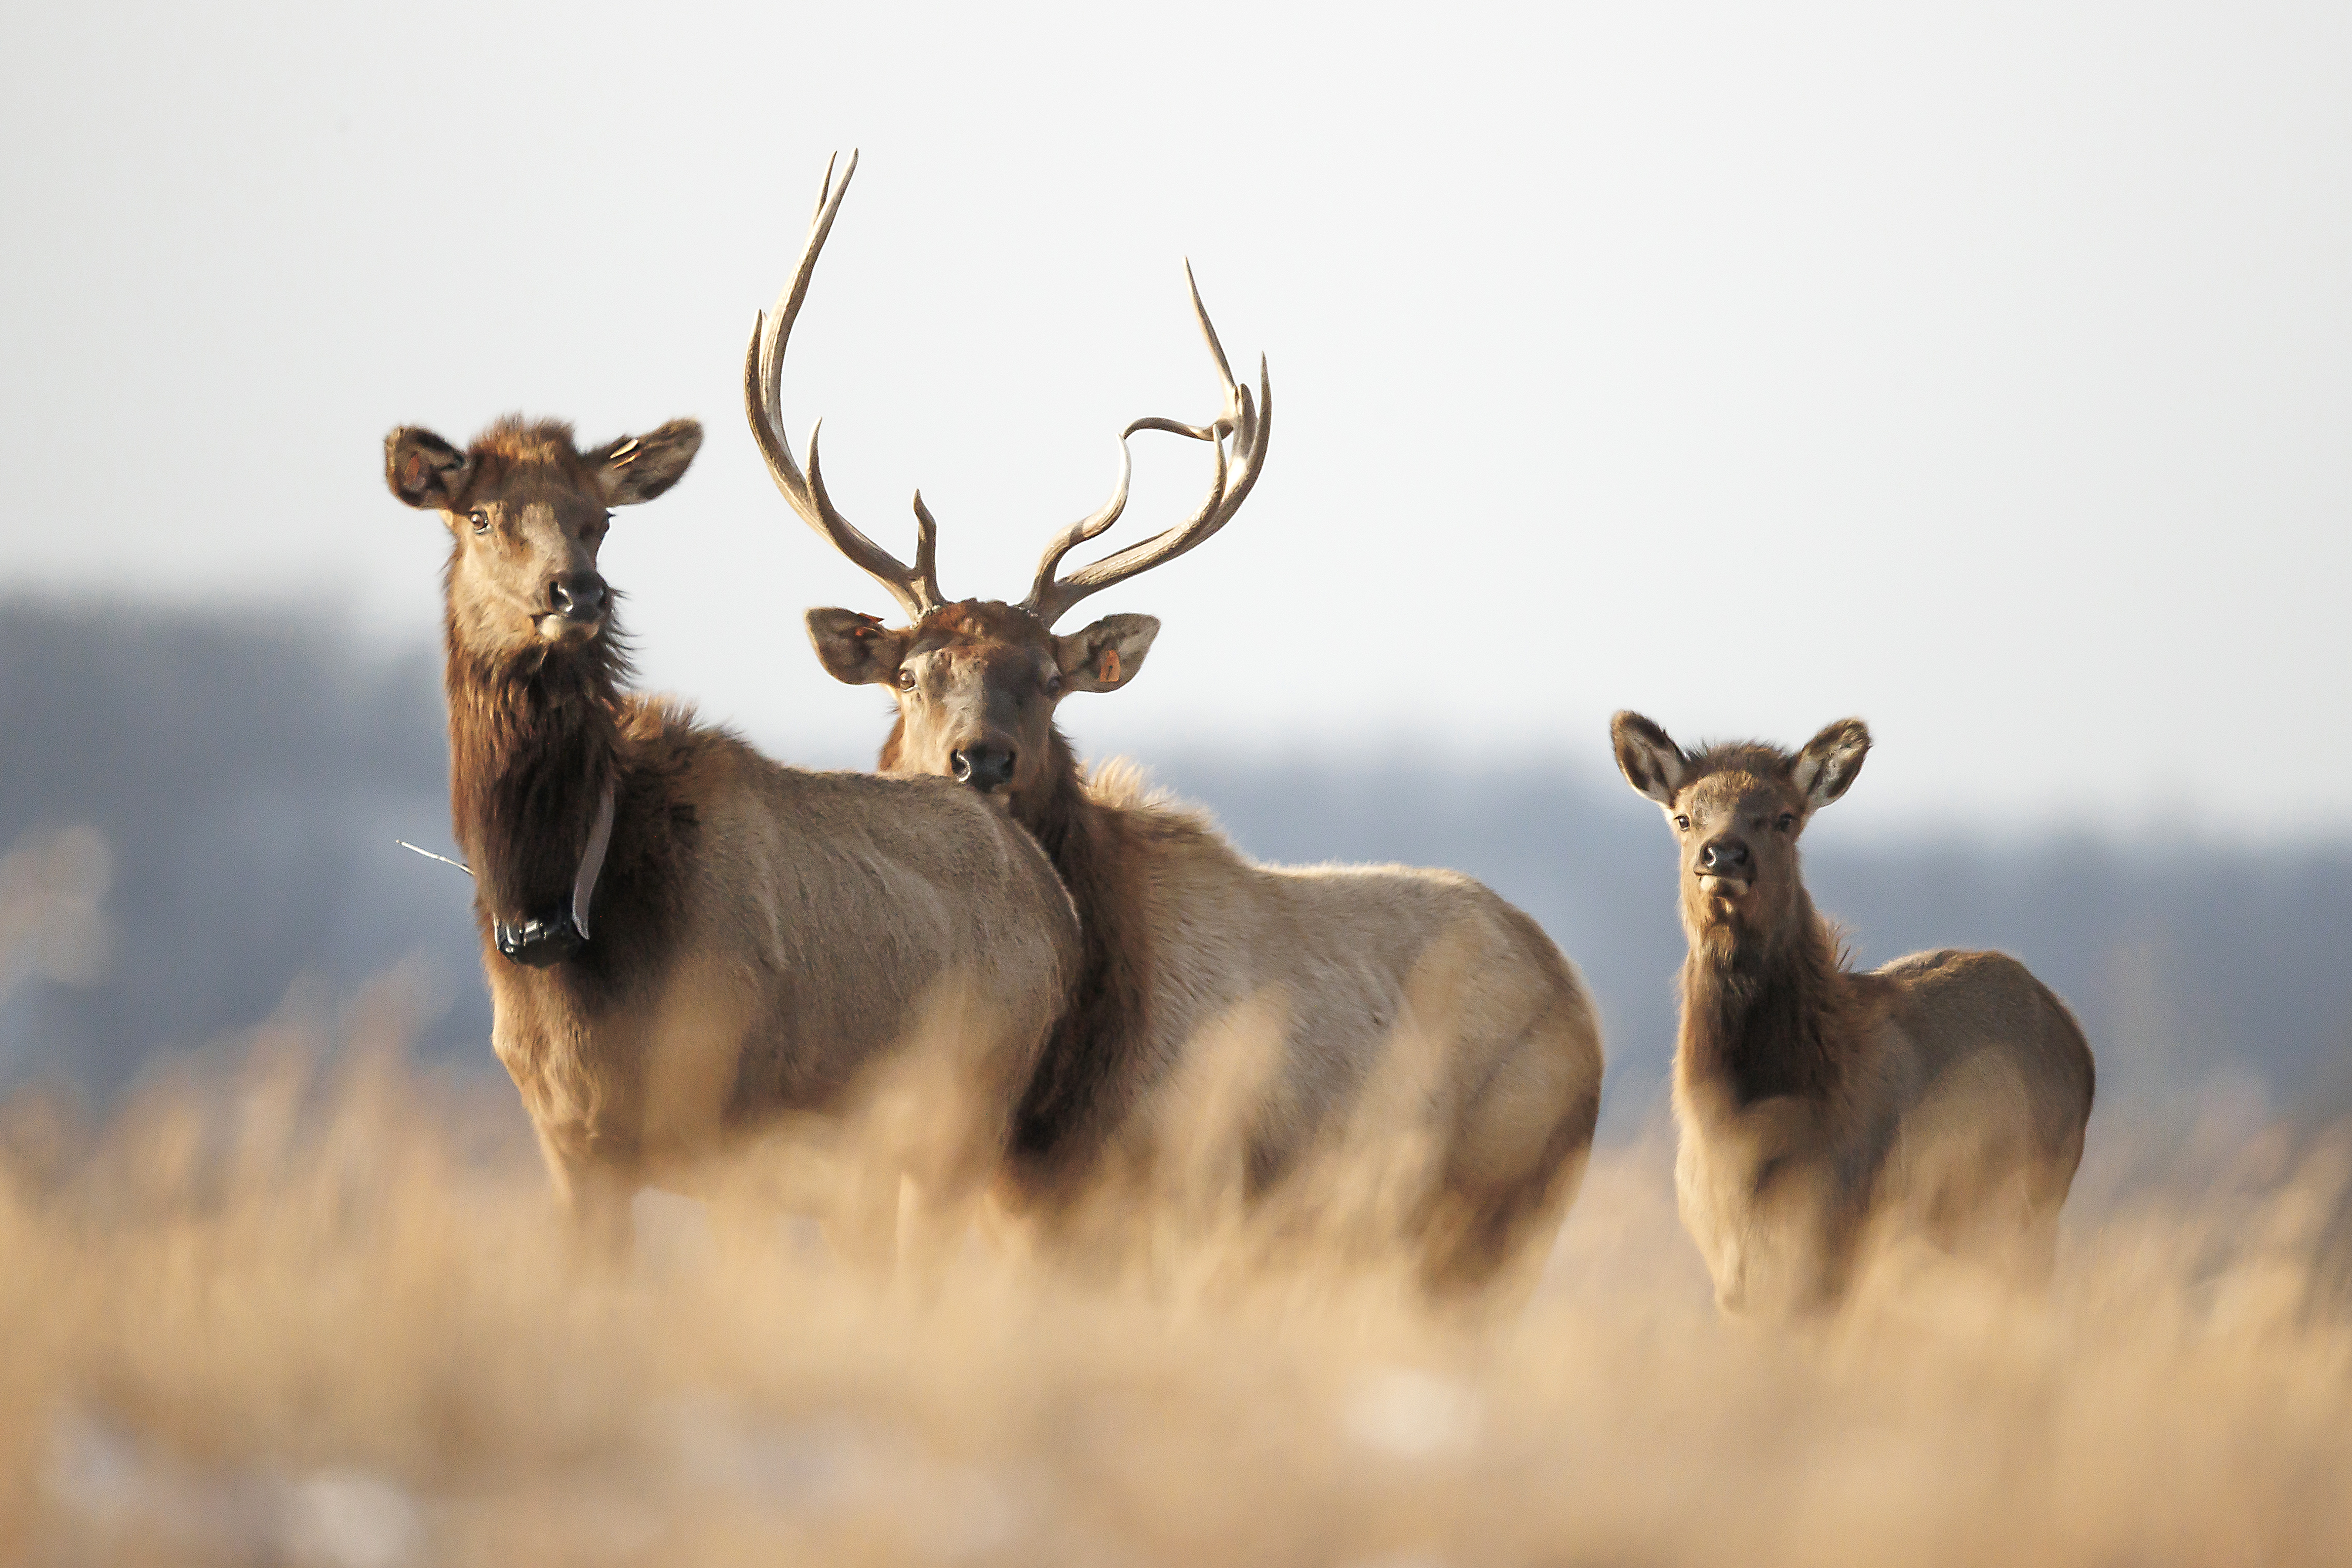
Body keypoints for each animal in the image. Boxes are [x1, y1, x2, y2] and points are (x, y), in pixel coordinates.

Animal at [380, 408, 1079, 1264]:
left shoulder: (732, 1126)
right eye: (480, 516)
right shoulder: (567, 1145)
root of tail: (1057, 898)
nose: (577, 592)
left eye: (599, 521)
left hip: (959, 1128)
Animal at [746, 153, 1604, 1299]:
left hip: (1493, 1220)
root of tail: (1581, 1003)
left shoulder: (1171, 1207)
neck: (1055, 1088)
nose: (979, 759)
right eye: (914, 675)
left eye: (1046, 679)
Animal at [1609, 711, 2096, 1315]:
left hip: (2034, 1203)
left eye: (1785, 818)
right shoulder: (1727, 1265)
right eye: (1683, 818)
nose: (1723, 855)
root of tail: (2074, 1034)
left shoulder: (1838, 1237)